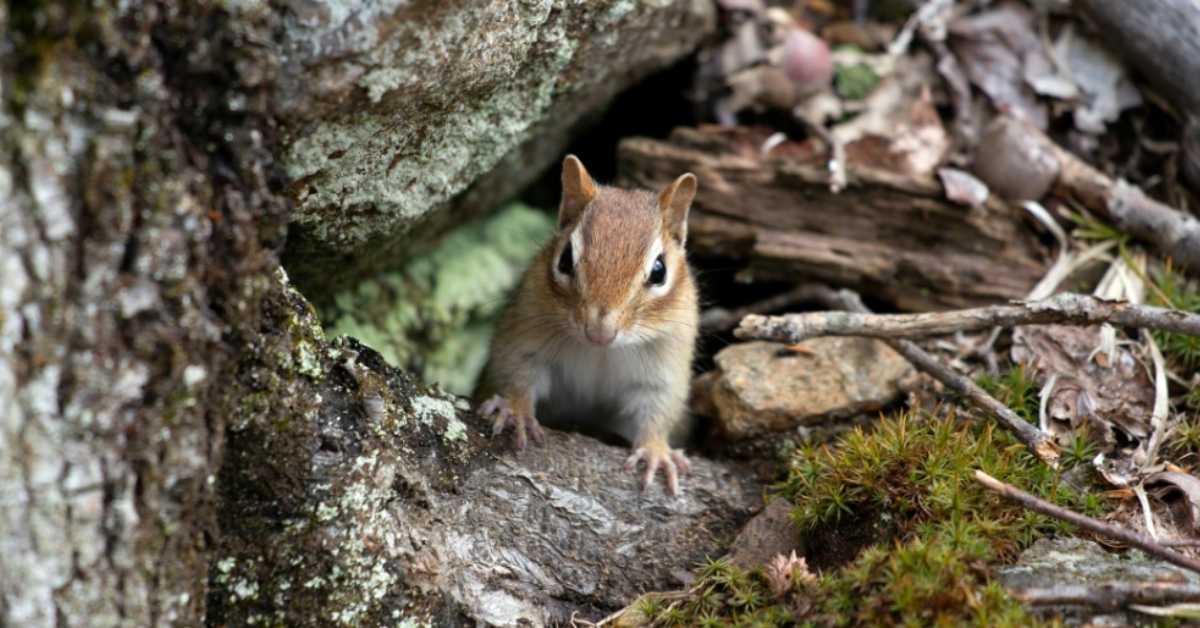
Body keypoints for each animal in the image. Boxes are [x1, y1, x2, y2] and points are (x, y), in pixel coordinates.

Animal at [474, 155, 700, 495]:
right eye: (565, 259)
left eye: (659, 271)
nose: (599, 333)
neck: (600, 353)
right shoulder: (525, 336)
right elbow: (518, 373)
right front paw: (516, 409)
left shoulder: (665, 365)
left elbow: (657, 409)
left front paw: (656, 450)